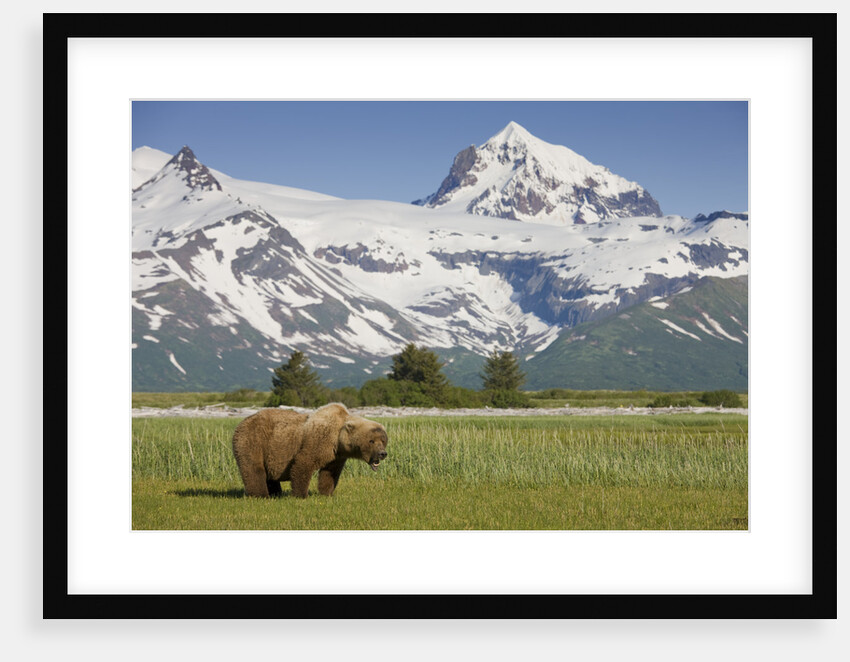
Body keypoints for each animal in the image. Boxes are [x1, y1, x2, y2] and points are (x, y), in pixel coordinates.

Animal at [231, 402, 389, 498]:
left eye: (383, 441)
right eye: (371, 441)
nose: (382, 453)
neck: (337, 438)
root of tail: (241, 422)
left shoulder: (336, 455)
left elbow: (330, 473)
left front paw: (327, 492)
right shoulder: (319, 440)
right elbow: (303, 463)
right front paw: (301, 495)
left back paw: (276, 493)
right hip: (254, 440)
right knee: (254, 468)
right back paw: (261, 495)